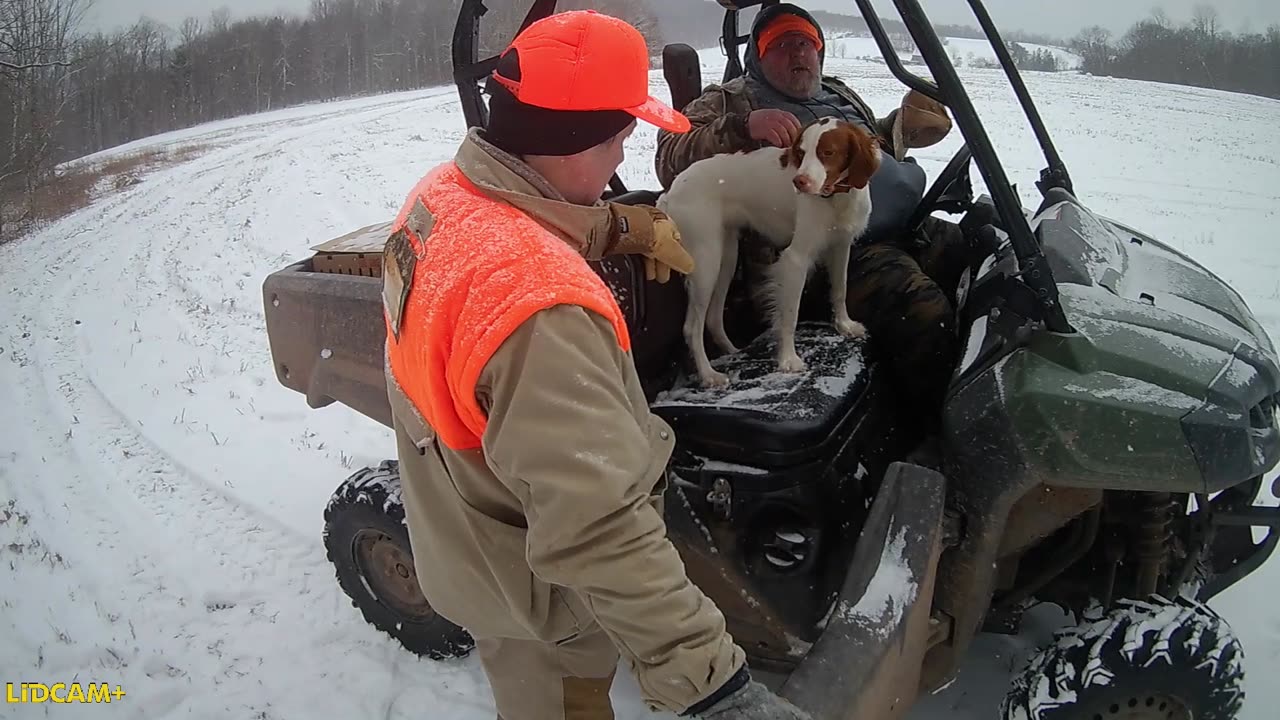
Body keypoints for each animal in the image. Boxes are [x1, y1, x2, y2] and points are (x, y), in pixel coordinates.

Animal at [660, 116, 880, 386]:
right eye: (801, 153)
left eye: (827, 152)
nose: (799, 182)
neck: (834, 197)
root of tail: (671, 190)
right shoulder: (796, 258)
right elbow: (790, 314)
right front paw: (788, 360)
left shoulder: (841, 245)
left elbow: (840, 289)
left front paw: (845, 325)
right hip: (705, 260)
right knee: (692, 327)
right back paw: (709, 374)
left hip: (726, 256)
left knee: (712, 318)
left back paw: (733, 351)